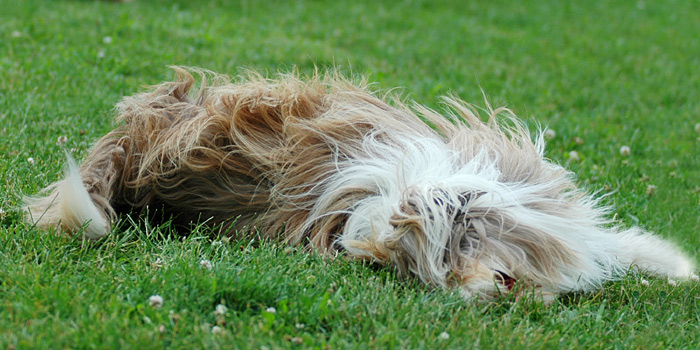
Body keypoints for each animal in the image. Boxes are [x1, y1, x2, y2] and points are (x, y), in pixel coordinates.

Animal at [23, 67, 696, 300]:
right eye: (411, 273)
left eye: (459, 247)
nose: (481, 294)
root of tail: (133, 144)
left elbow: (630, 246)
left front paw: (678, 268)